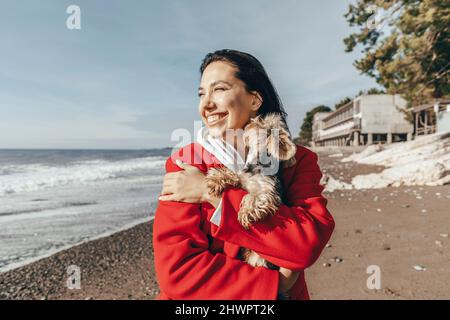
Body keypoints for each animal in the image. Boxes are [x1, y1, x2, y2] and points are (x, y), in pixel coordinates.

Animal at [206, 112, 298, 270]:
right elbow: (234, 175)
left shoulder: (268, 192)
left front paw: (246, 212)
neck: (256, 164)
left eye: (261, 123)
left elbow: (254, 197)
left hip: (259, 259)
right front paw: (216, 178)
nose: (249, 122)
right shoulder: (242, 177)